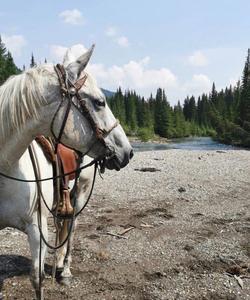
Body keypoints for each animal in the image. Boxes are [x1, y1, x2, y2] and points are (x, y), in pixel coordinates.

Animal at [0, 44, 133, 298]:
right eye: (100, 102)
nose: (128, 151)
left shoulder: (37, 228)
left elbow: (37, 279)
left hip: (80, 193)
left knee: (71, 228)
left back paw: (66, 270)